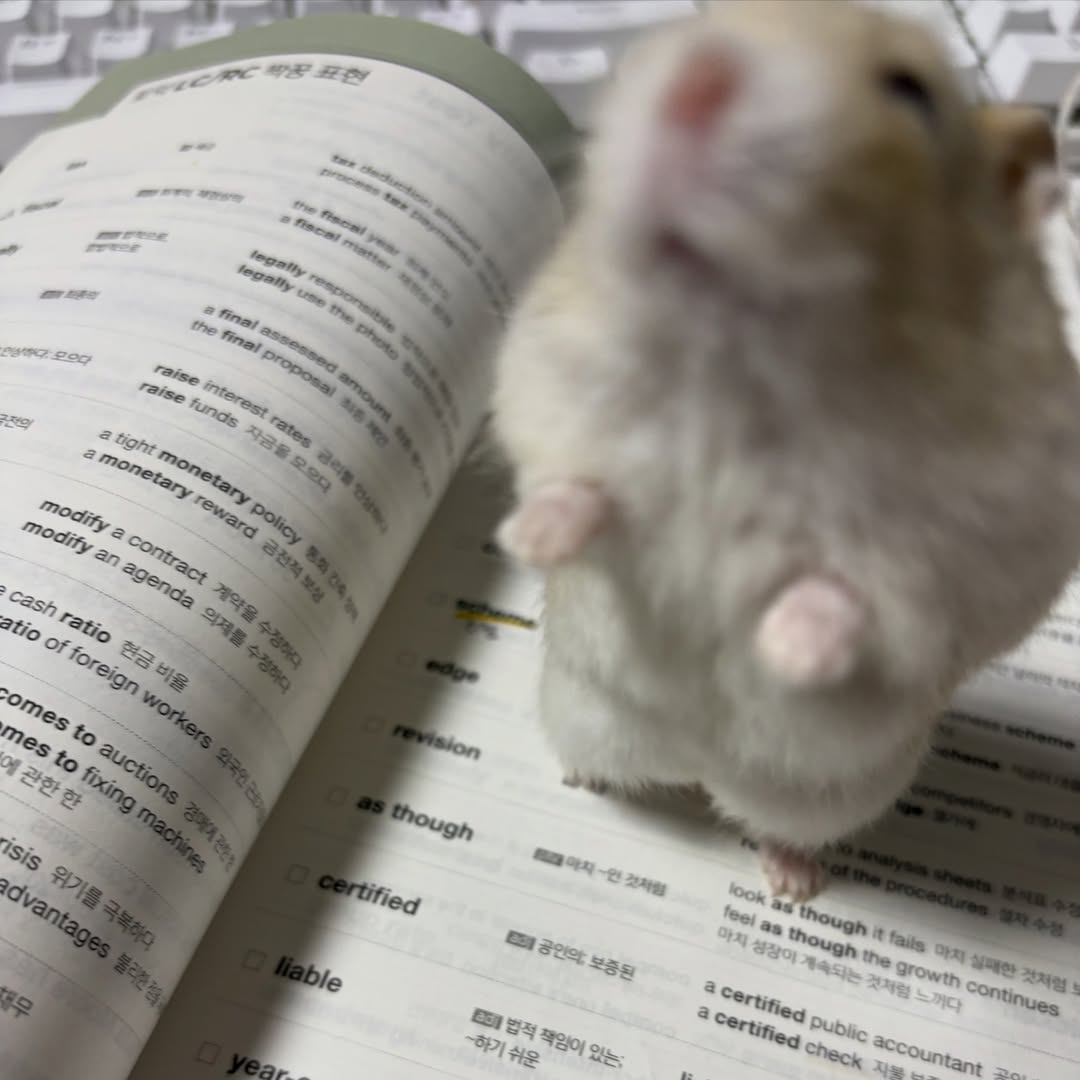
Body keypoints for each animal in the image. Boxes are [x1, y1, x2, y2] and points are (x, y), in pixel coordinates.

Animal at [490, 0, 1080, 900]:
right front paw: (526, 538)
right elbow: (581, 487)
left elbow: (856, 593)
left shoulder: (986, 549)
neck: (743, 368)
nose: (695, 82)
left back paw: (791, 882)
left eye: (912, 90)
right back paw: (583, 778)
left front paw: (784, 647)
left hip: (832, 795)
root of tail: (696, 767)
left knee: (780, 825)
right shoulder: (545, 379)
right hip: (579, 708)